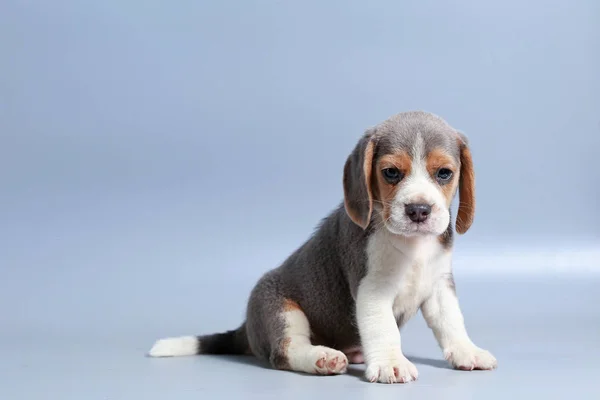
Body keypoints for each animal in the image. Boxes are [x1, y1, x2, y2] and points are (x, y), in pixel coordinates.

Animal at [150, 111, 496, 382]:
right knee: (284, 352)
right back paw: (322, 358)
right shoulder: (373, 289)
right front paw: (391, 363)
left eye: (444, 173)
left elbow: (451, 322)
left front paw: (467, 351)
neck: (412, 244)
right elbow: (384, 328)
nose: (419, 210)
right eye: (391, 173)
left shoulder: (439, 286)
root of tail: (246, 328)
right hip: (281, 310)